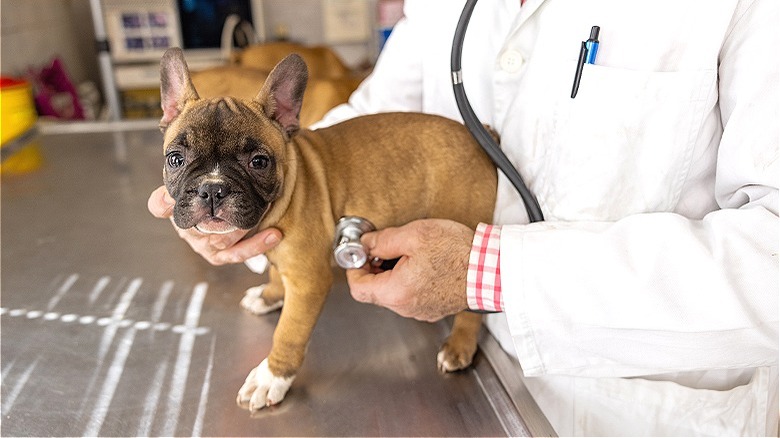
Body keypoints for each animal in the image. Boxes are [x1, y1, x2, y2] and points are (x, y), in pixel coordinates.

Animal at [158, 48, 496, 410]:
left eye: (259, 162)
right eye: (175, 159)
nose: (213, 188)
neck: (289, 186)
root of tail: (480, 137)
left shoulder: (310, 282)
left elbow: (288, 332)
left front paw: (272, 377)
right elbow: (275, 273)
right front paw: (269, 295)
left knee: (472, 301)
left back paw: (459, 346)